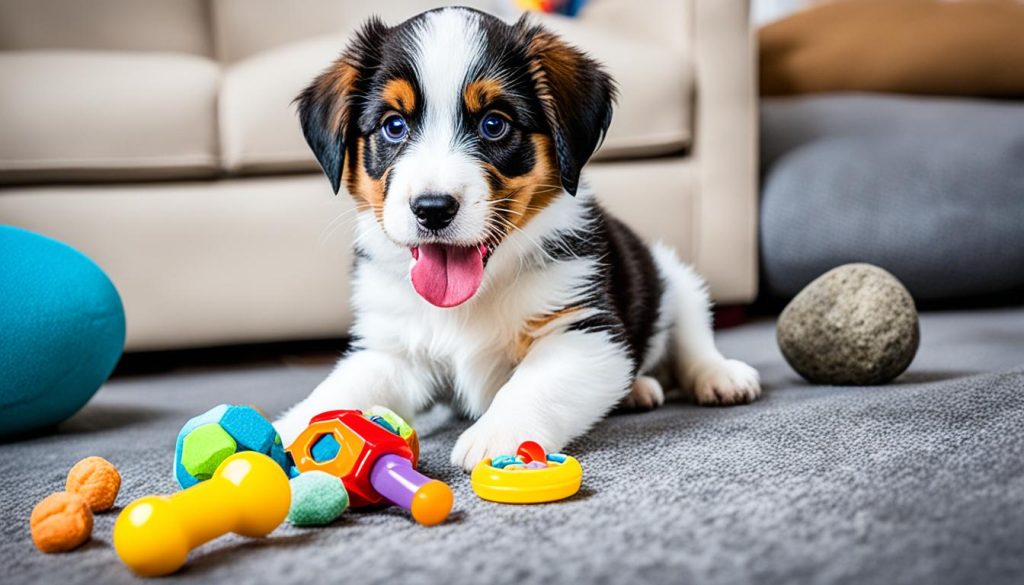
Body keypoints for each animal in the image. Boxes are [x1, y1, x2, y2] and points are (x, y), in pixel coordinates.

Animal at [274, 6, 761, 471]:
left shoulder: (583, 327)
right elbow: (339, 390)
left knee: (692, 336)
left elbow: (533, 384)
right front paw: (286, 432)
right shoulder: (392, 350)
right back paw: (639, 387)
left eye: (494, 124)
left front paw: (499, 436)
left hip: (673, 276)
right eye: (394, 126)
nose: (432, 208)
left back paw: (719, 378)